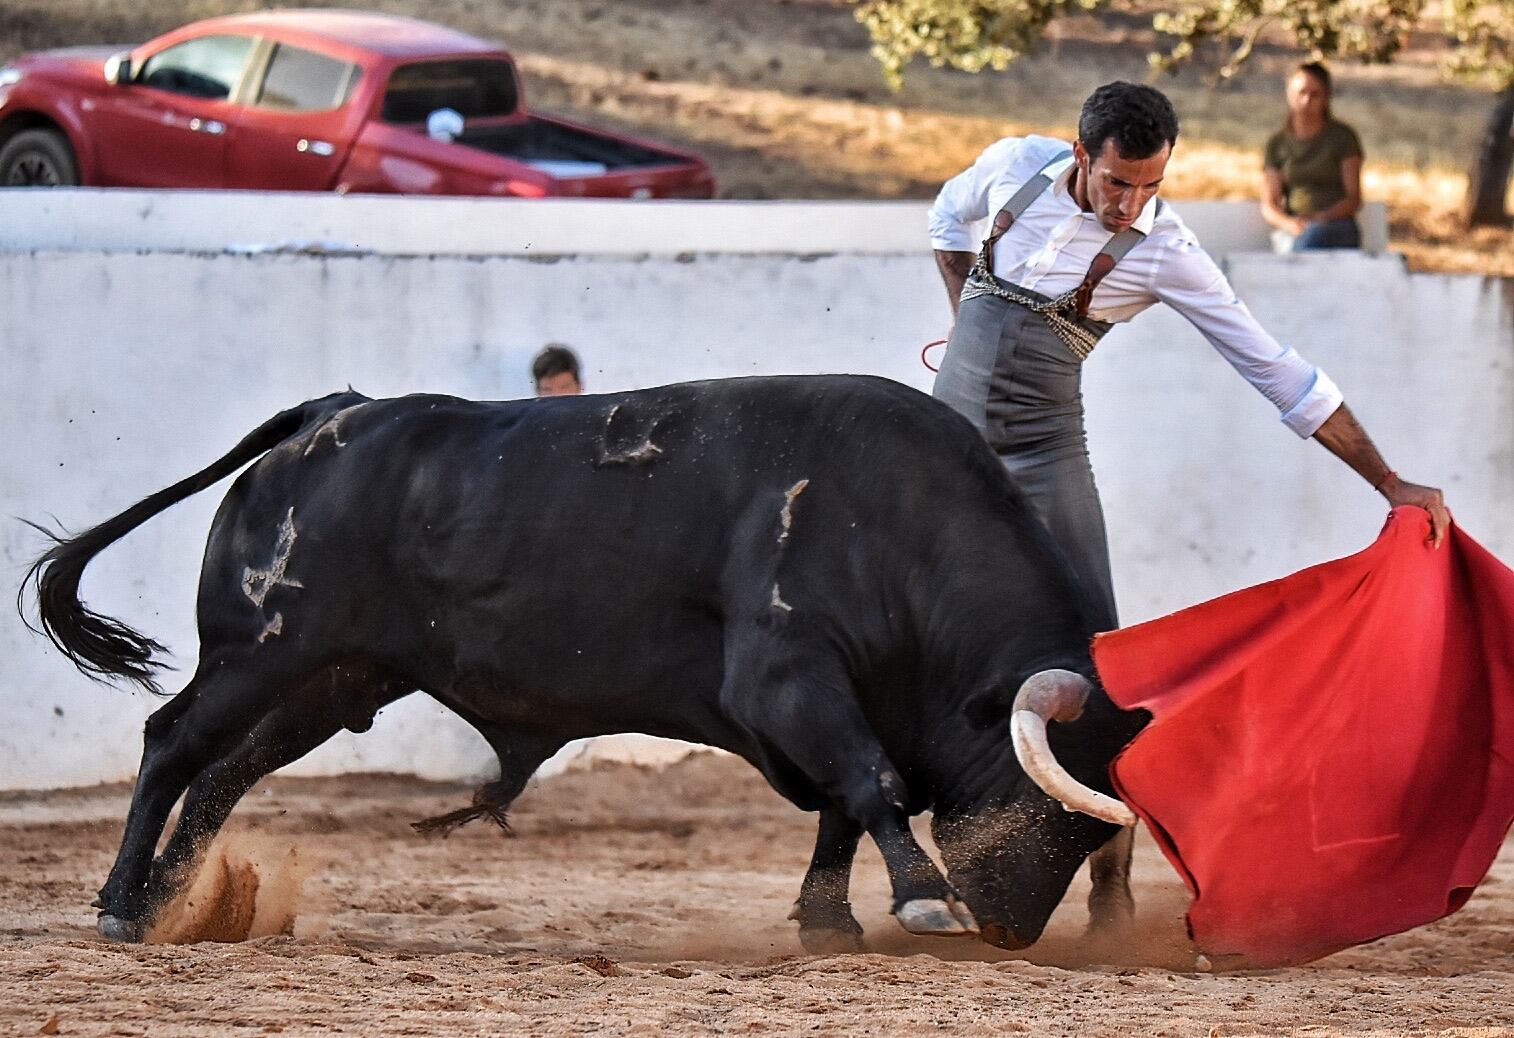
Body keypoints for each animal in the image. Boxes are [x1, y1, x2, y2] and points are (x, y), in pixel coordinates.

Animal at [23, 378, 1138, 956]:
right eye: (1047, 807)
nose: (1012, 928)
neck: (893, 522)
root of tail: (331, 415)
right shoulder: (790, 678)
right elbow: (872, 783)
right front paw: (918, 898)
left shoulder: (835, 700)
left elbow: (843, 804)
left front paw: (829, 920)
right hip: (257, 653)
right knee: (173, 743)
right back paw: (123, 906)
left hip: (332, 680)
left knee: (222, 772)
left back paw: (183, 905)